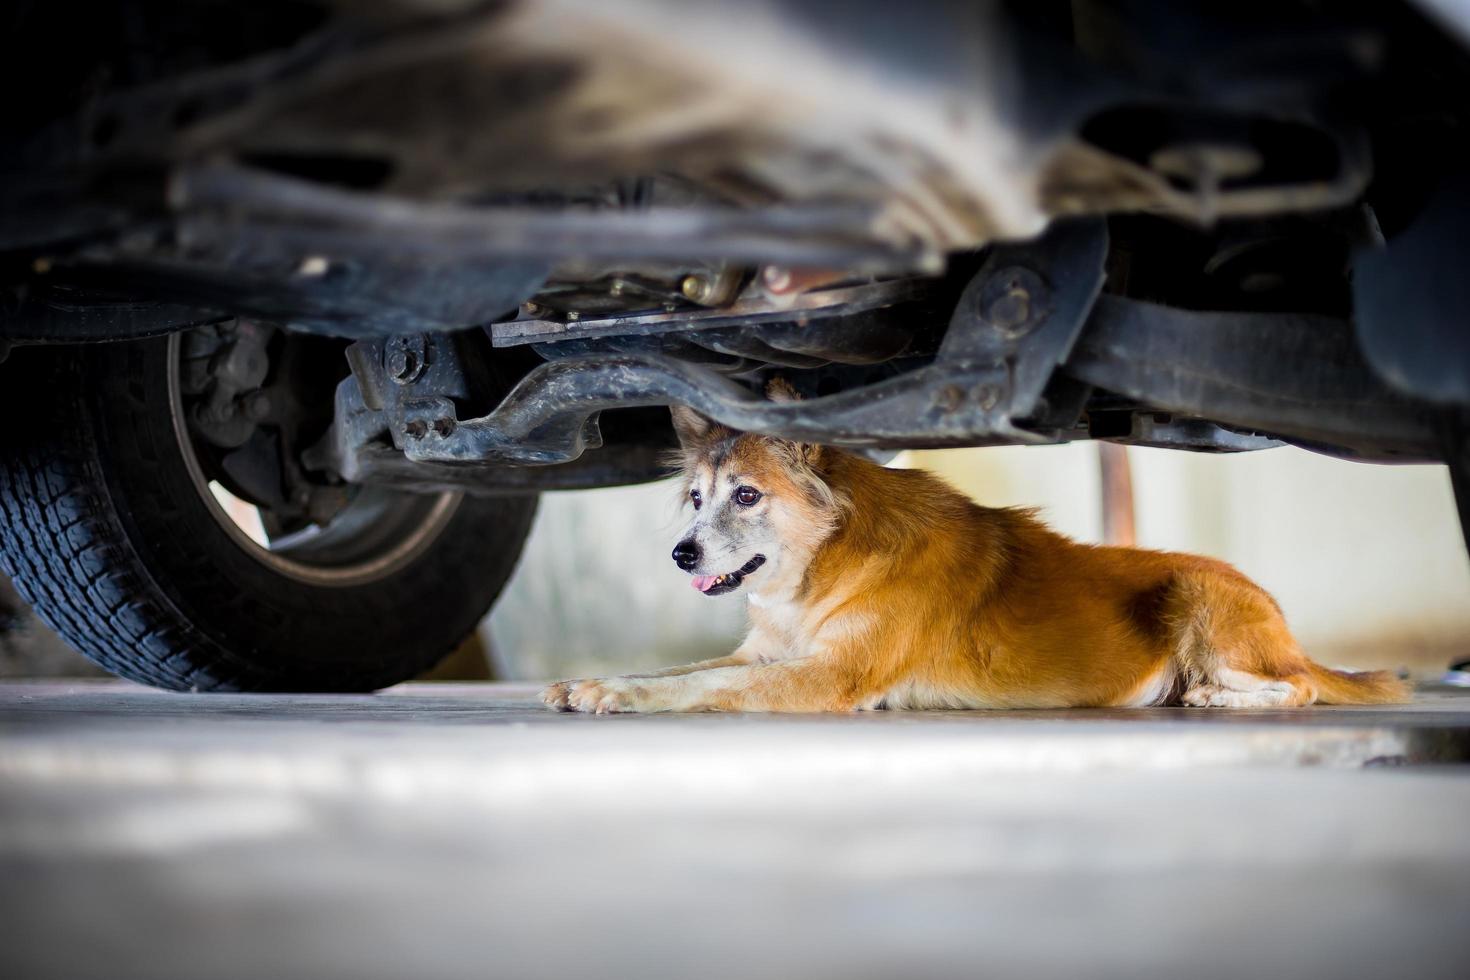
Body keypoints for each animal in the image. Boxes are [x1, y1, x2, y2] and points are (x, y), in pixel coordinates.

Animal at [538, 387, 1399, 717]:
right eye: (695, 498)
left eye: (746, 497)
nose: (681, 555)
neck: (823, 570)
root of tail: (1284, 628)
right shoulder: (767, 655)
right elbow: (685, 670)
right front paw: (593, 680)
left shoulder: (827, 675)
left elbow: (703, 687)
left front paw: (613, 695)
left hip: (1198, 598)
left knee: (1302, 688)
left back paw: (1222, 698)